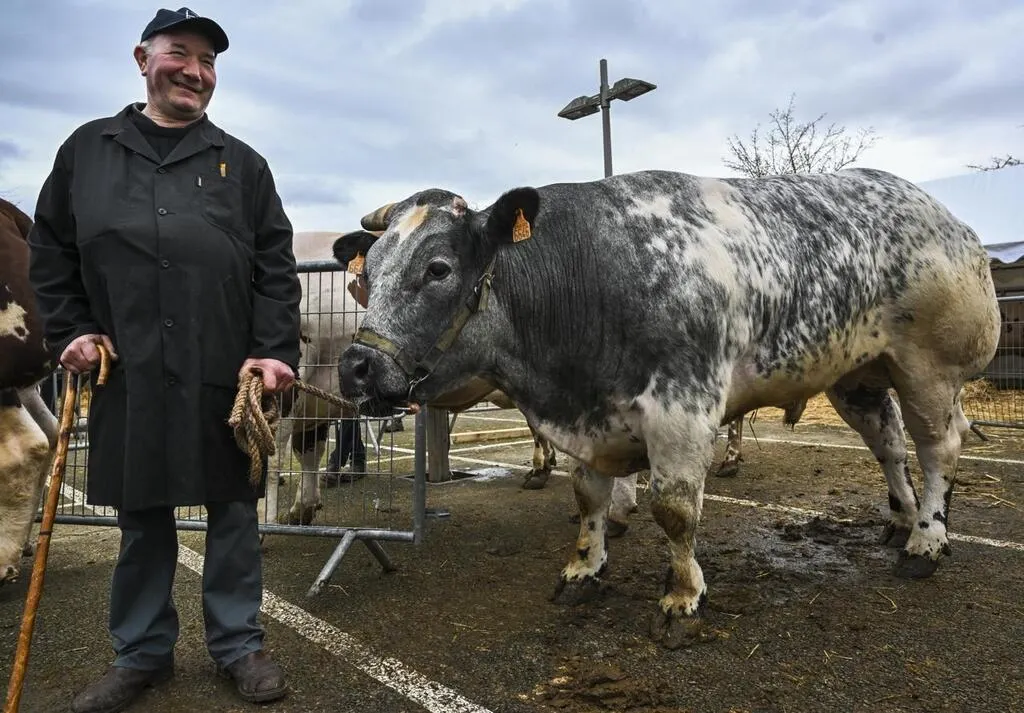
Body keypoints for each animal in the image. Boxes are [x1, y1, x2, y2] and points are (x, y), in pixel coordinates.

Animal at [332, 168, 1000, 649]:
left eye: (438, 268)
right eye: (368, 276)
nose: (354, 366)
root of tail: (952, 221)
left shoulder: (683, 407)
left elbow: (675, 512)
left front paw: (682, 597)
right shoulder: (589, 416)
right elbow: (590, 499)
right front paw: (584, 568)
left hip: (930, 370)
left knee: (939, 449)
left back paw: (926, 542)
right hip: (857, 376)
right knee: (889, 444)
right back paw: (902, 519)